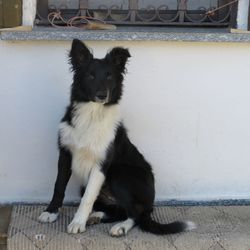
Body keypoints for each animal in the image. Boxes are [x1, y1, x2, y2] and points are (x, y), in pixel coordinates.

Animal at [38, 39, 194, 236]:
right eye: (90, 76)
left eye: (109, 77)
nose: (102, 95)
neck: (92, 114)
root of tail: (150, 204)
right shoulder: (65, 153)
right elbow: (58, 185)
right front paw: (51, 212)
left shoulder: (102, 163)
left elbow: (88, 197)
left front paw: (78, 222)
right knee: (119, 211)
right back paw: (96, 216)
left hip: (119, 174)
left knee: (136, 214)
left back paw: (120, 226)